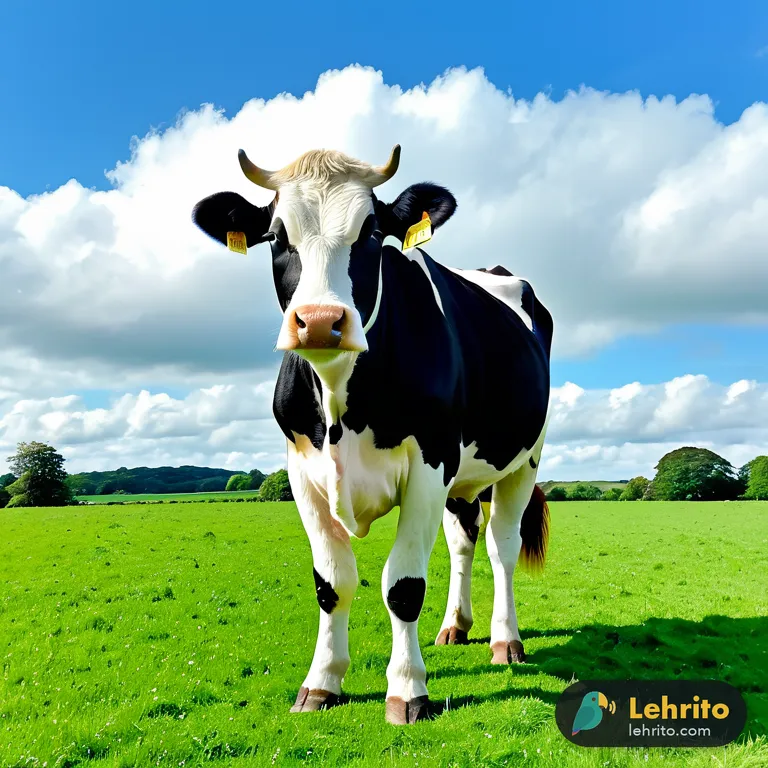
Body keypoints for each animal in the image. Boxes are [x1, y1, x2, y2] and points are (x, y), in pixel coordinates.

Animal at [192, 145, 553, 724]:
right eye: (275, 235)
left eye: (370, 232)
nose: (319, 321)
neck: (341, 398)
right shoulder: (302, 471)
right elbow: (332, 583)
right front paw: (322, 682)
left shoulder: (430, 462)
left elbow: (402, 586)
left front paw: (408, 690)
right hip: (463, 480)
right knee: (463, 542)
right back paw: (455, 626)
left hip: (524, 459)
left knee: (503, 547)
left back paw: (506, 640)